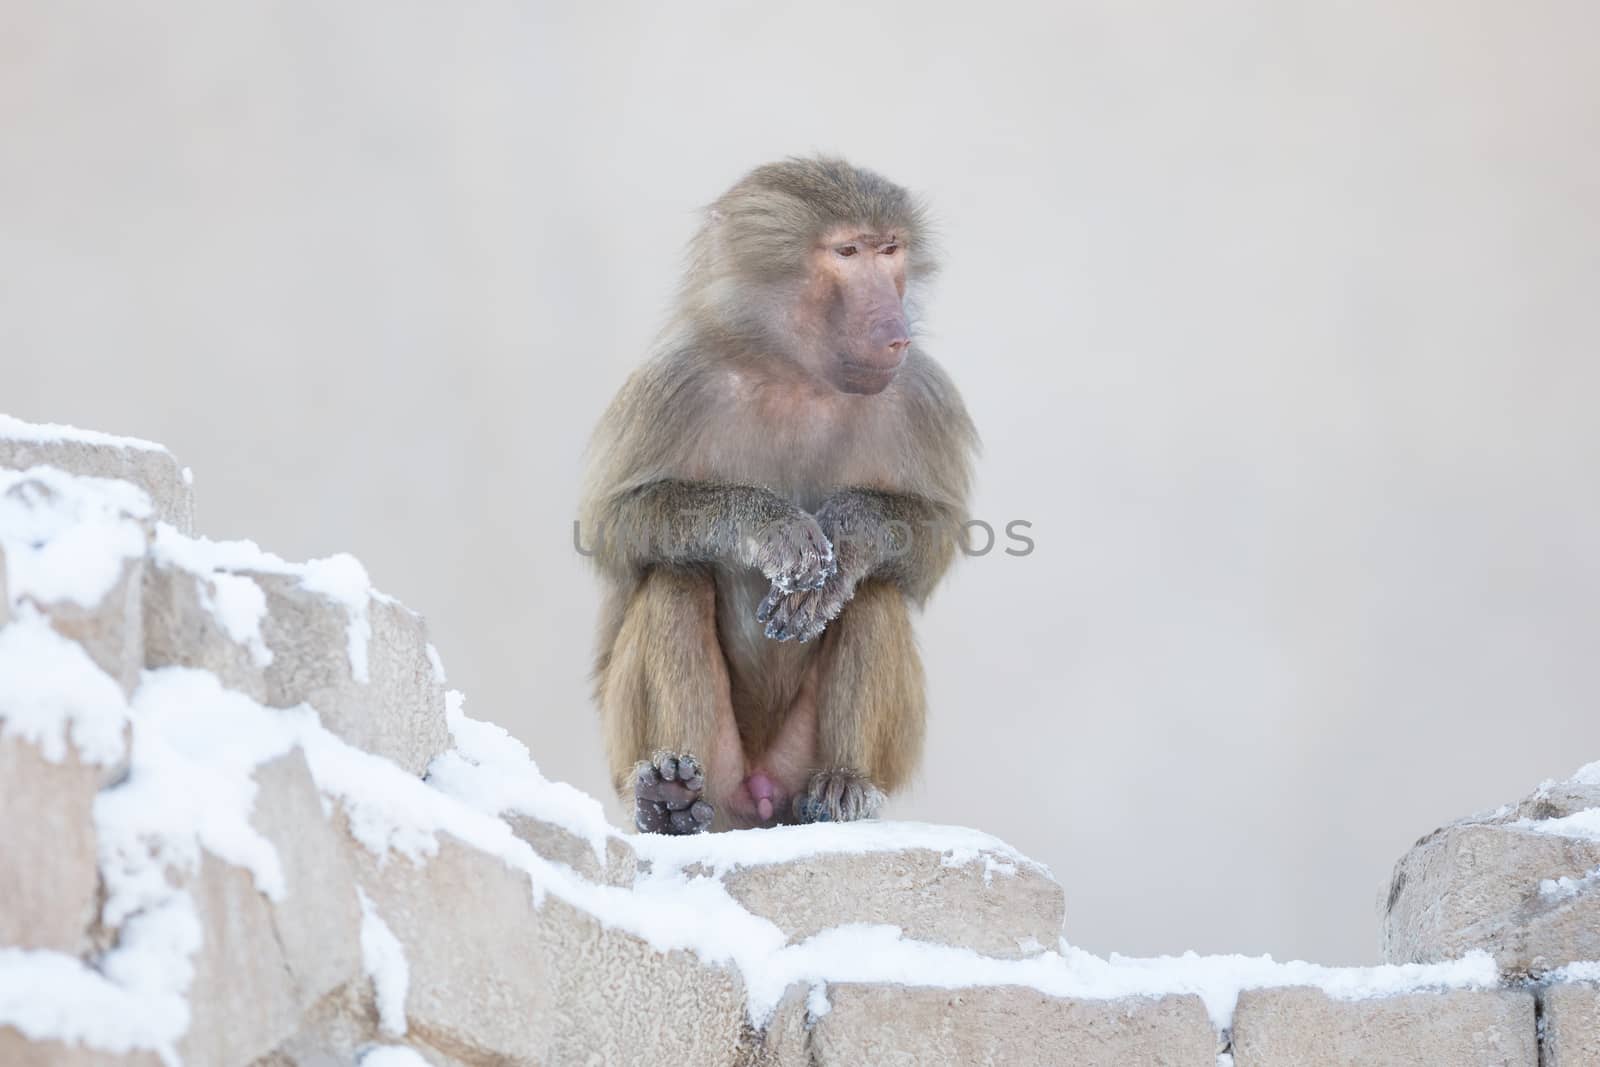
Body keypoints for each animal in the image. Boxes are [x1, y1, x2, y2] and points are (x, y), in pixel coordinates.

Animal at [576, 154, 972, 831]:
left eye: (889, 249)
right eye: (846, 252)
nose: (895, 334)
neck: (797, 376)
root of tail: (759, 803)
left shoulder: (923, 393)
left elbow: (932, 543)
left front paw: (847, 531)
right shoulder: (674, 382)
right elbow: (613, 527)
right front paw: (773, 530)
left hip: (798, 765)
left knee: (874, 591)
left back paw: (843, 786)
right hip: (707, 763)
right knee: (674, 575)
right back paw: (670, 797)